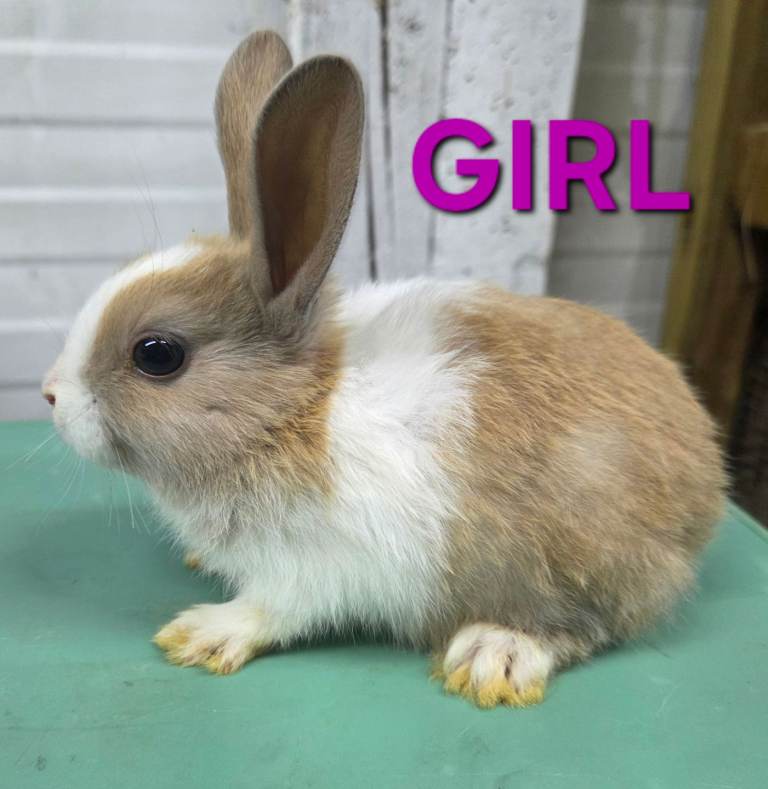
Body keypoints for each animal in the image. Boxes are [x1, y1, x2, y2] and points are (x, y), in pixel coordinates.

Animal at [42, 30, 725, 709]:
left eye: (157, 354)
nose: (51, 395)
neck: (292, 412)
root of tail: (708, 477)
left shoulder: (312, 568)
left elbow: (274, 610)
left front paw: (202, 634)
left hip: (577, 552)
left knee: (589, 624)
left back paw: (494, 656)